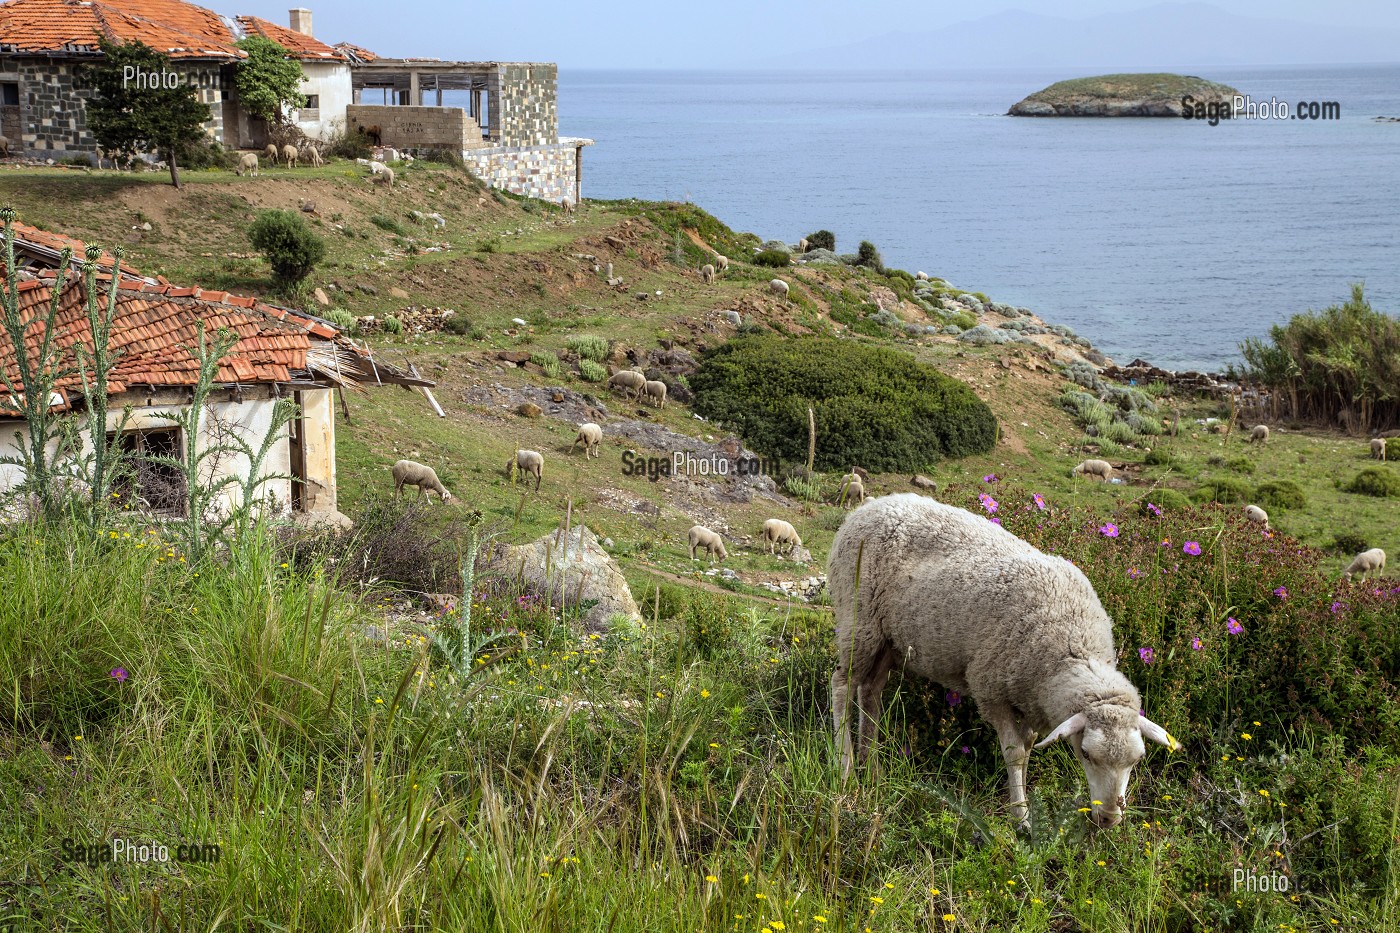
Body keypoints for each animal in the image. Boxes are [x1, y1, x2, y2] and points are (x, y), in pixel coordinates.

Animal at [829, 494, 1179, 830]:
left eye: (1137, 760)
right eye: (1085, 754)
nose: (1108, 819)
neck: (1072, 643)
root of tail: (868, 508)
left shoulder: (1034, 701)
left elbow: (1028, 749)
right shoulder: (991, 690)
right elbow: (1014, 754)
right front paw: (1020, 817)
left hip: (888, 639)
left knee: (870, 691)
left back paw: (871, 766)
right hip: (858, 617)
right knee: (842, 685)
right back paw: (846, 771)